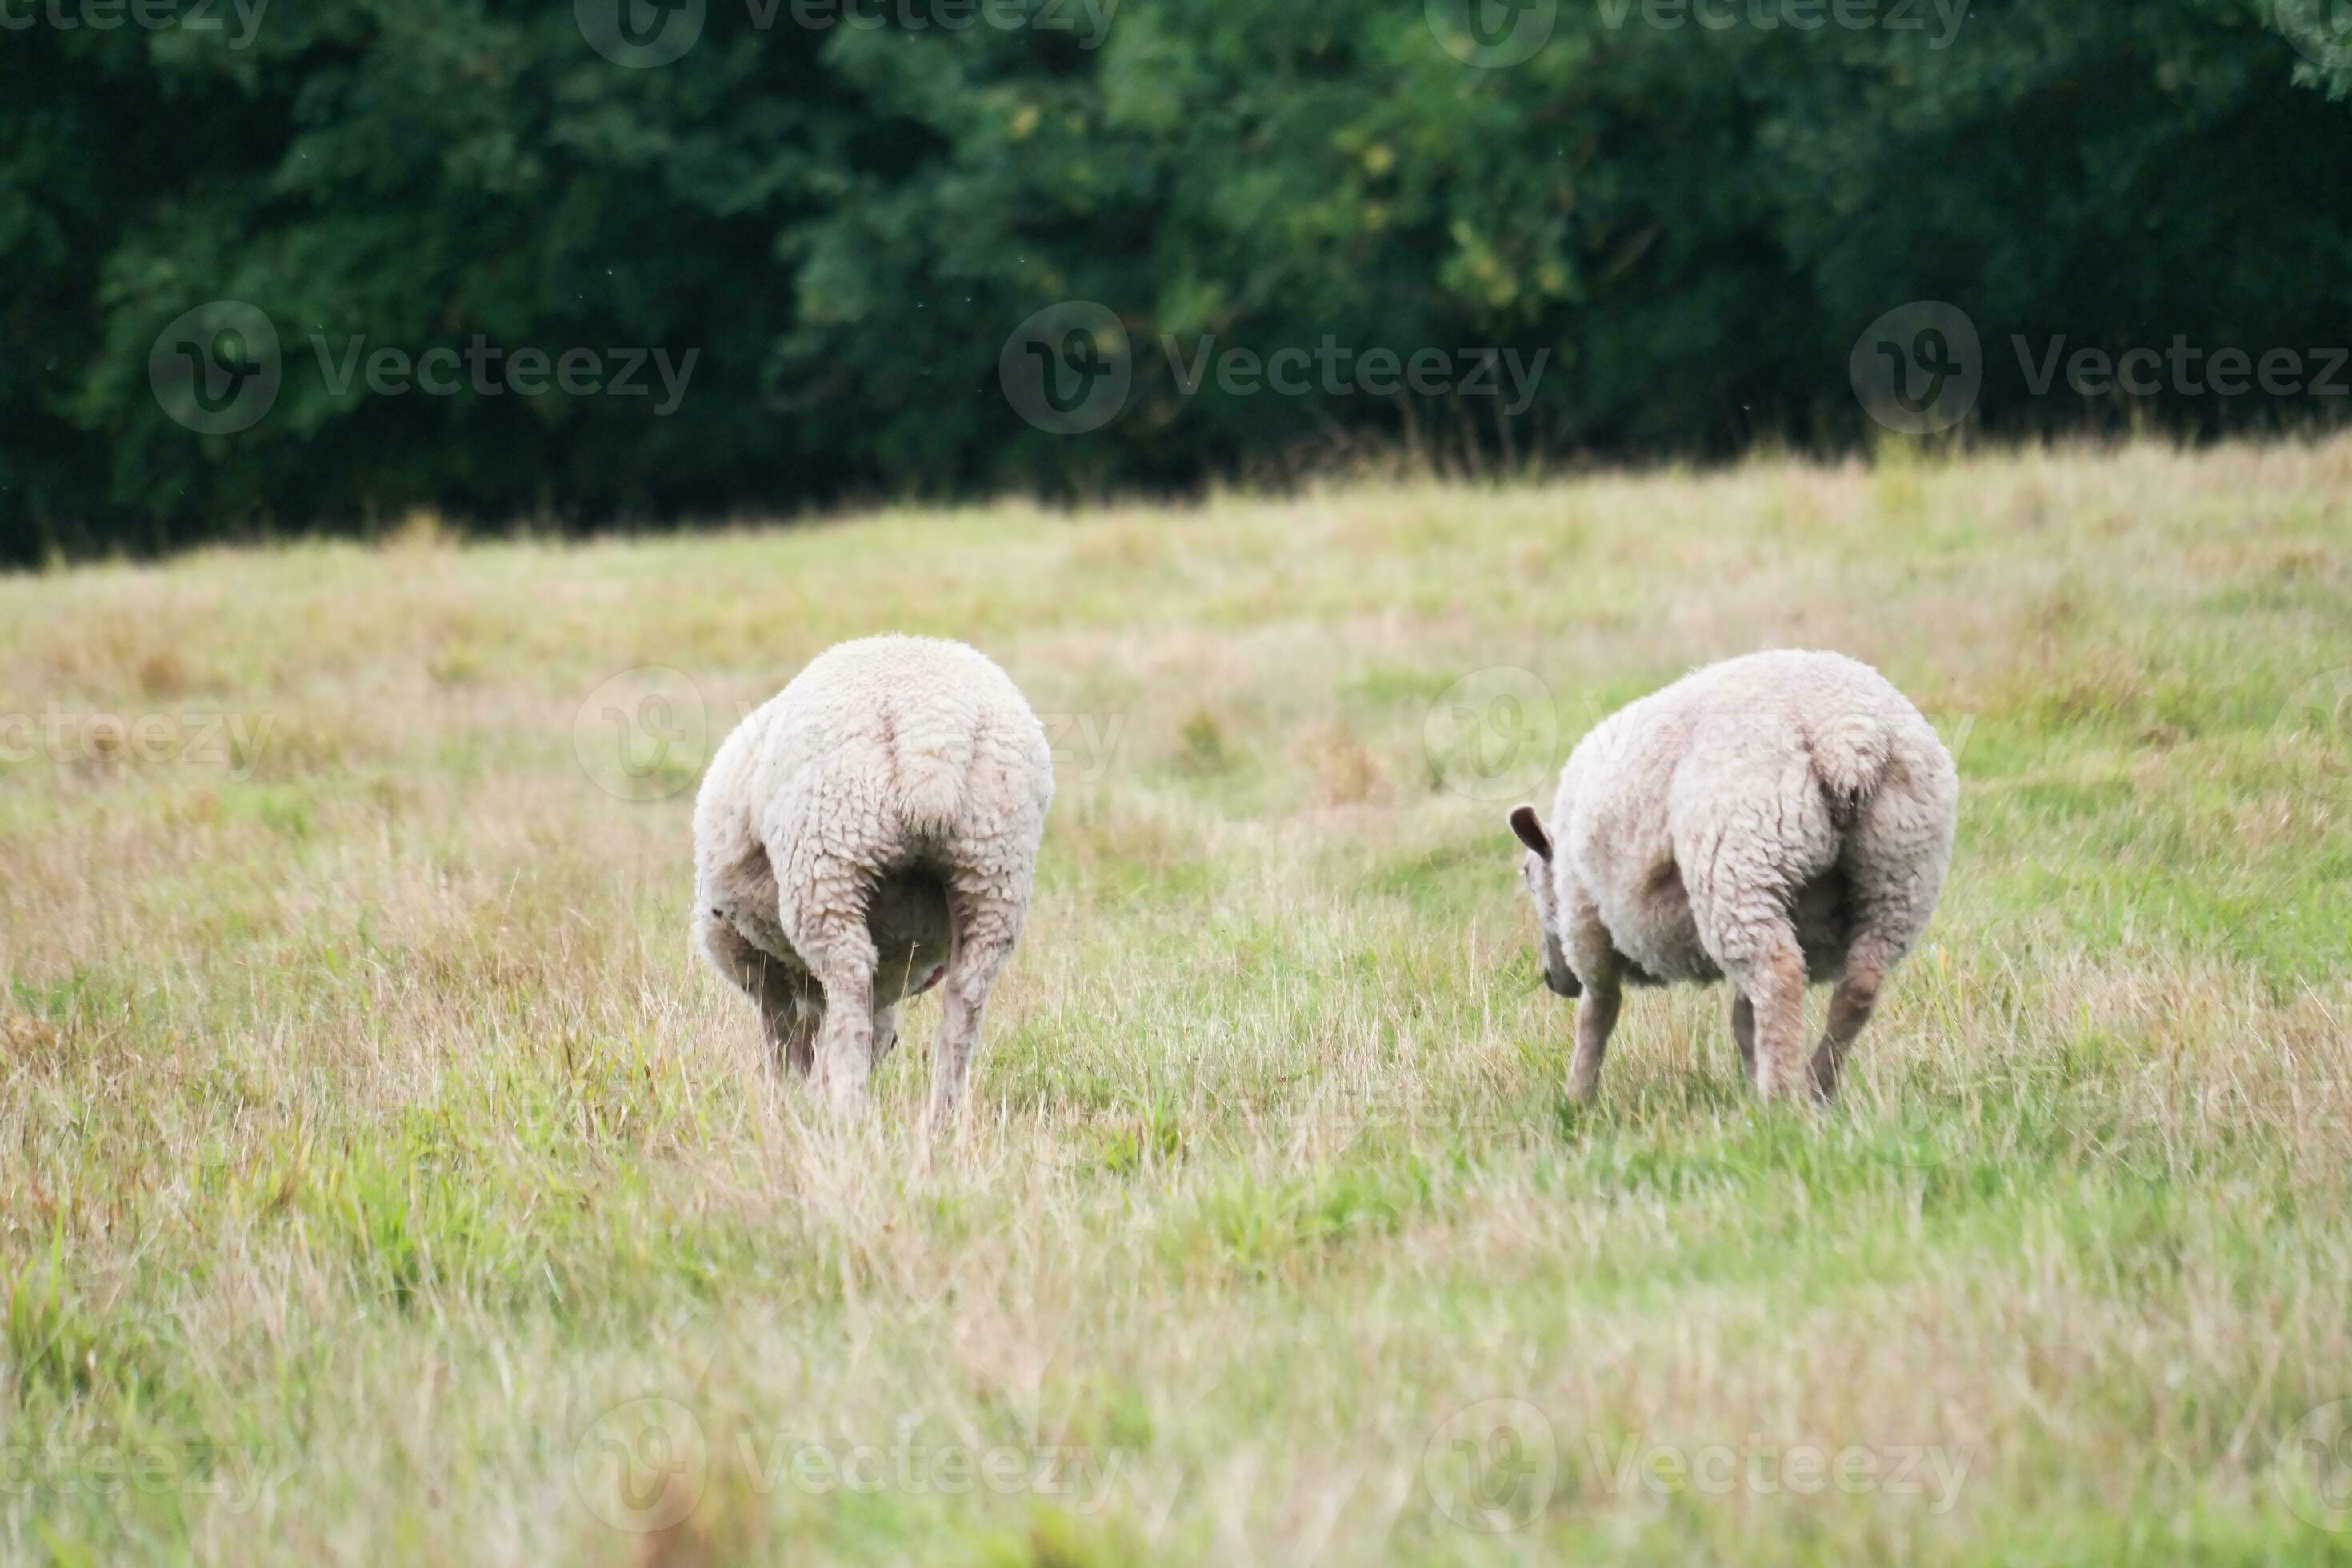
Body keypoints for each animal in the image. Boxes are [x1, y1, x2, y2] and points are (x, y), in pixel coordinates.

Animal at [693, 635, 1054, 1126]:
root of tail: (932, 729)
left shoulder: (757, 966)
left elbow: (782, 1033)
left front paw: (789, 1094)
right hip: (994, 865)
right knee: (966, 997)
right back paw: (941, 1117)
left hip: (829, 856)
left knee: (850, 980)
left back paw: (845, 1107)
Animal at [1507, 649, 1957, 1103]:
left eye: (1529, 875)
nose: (1551, 979)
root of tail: (1848, 740)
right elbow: (1743, 1019)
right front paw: (1751, 1077)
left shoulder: (1585, 920)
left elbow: (1598, 1011)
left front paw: (1577, 1099)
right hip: (1900, 871)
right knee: (1860, 984)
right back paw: (1816, 1089)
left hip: (1740, 863)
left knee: (1779, 978)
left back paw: (1780, 1101)